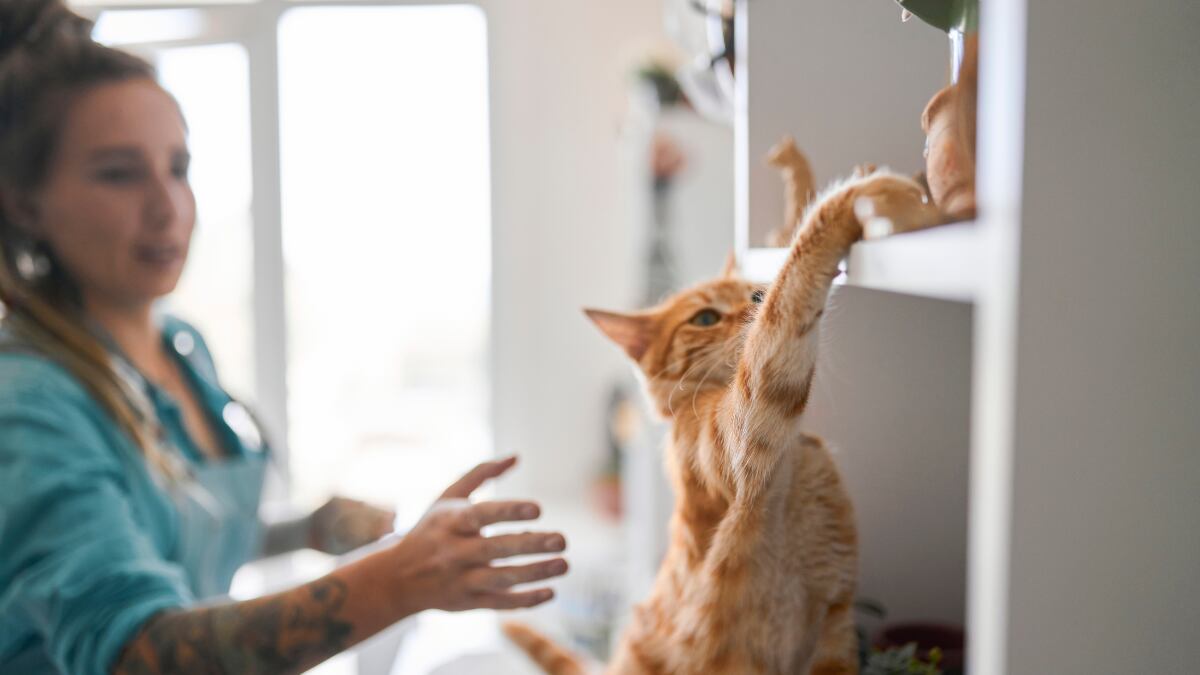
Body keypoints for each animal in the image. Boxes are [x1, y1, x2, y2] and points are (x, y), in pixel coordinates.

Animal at [506, 168, 936, 672]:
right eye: (706, 317)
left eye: (754, 292)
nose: (754, 300)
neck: (795, 454)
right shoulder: (751, 416)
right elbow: (792, 291)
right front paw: (863, 193)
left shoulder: (834, 629)